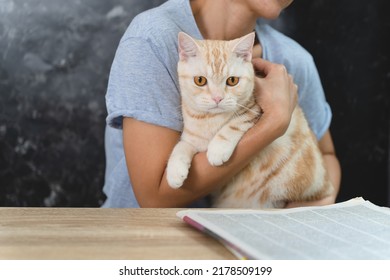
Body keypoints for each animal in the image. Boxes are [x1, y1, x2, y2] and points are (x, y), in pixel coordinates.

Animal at [166, 32, 334, 208]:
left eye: (232, 81)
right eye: (200, 80)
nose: (217, 98)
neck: (210, 119)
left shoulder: (254, 109)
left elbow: (235, 123)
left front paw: (217, 149)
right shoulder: (192, 138)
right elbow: (181, 146)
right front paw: (174, 171)